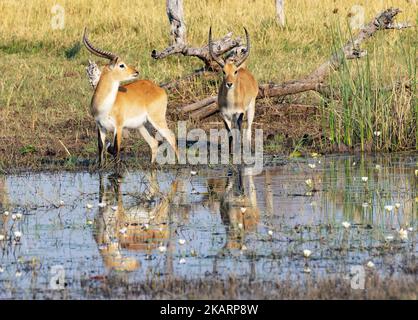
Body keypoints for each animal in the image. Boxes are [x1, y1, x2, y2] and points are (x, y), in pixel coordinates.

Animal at [82, 28, 177, 166]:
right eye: (121, 65)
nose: (136, 71)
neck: (105, 106)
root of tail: (158, 88)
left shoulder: (118, 127)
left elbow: (116, 149)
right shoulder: (100, 126)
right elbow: (100, 147)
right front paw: (100, 167)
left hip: (157, 120)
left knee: (171, 137)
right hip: (142, 126)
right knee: (154, 143)